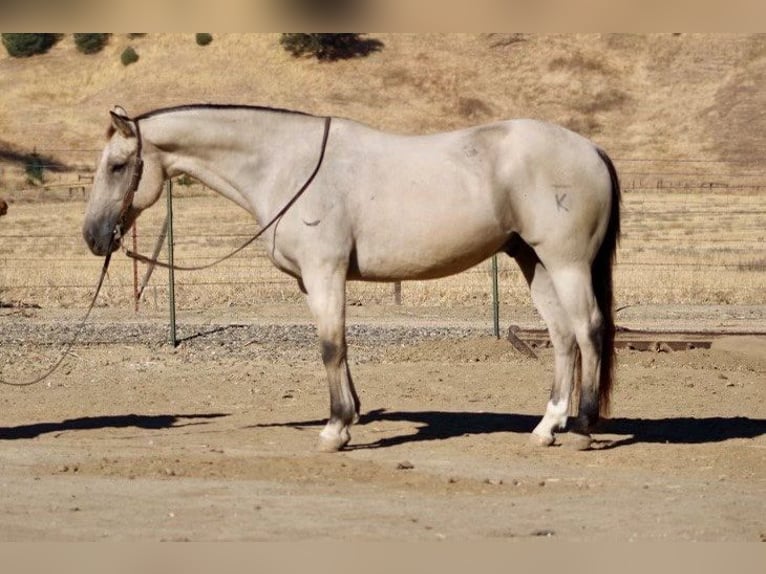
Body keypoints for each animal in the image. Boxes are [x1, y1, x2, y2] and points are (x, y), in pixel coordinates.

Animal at [84, 104, 624, 454]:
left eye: (117, 166)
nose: (93, 236)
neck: (288, 164)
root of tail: (592, 149)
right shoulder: (313, 281)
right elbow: (336, 346)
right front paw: (350, 418)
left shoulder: (326, 273)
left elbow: (330, 345)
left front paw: (333, 429)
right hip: (534, 261)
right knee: (562, 338)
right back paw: (547, 426)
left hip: (566, 262)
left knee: (588, 330)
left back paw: (581, 429)